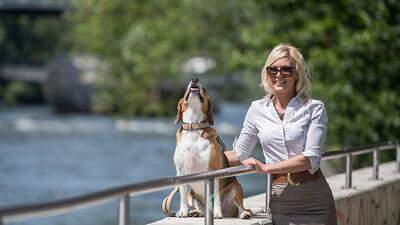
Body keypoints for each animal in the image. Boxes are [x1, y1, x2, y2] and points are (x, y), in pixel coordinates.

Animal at [162, 78, 250, 219]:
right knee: (199, 207)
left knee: (240, 206)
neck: (194, 126)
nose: (195, 79)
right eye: (185, 89)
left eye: (204, 88)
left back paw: (242, 213)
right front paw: (183, 211)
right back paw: (196, 212)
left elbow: (216, 196)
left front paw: (217, 213)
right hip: (191, 196)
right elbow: (182, 195)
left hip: (236, 188)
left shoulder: (213, 171)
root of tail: (229, 213)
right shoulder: (181, 172)